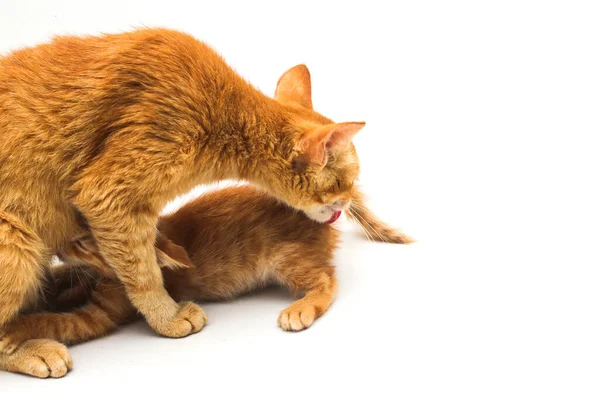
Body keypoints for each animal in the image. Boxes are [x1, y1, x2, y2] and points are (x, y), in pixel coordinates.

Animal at [0, 26, 366, 350]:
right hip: (17, 242)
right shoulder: (107, 192)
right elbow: (143, 273)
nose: (349, 202)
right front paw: (169, 318)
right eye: (348, 182)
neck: (225, 115)